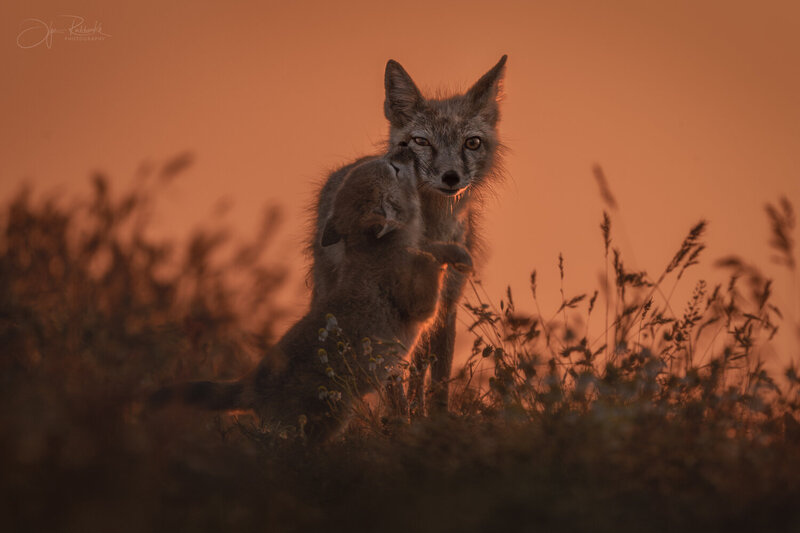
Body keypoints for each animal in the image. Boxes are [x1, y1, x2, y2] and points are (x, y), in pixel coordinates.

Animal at [151, 149, 472, 442]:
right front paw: (452, 255)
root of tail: (252, 382)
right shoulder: (419, 306)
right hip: (331, 417)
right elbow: (431, 259)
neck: (371, 251)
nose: (404, 149)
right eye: (394, 169)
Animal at [311, 55, 507, 414]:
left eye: (471, 143)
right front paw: (401, 421)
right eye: (421, 141)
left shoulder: (447, 304)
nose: (451, 177)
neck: (432, 232)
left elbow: (438, 379)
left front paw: (435, 420)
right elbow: (393, 383)